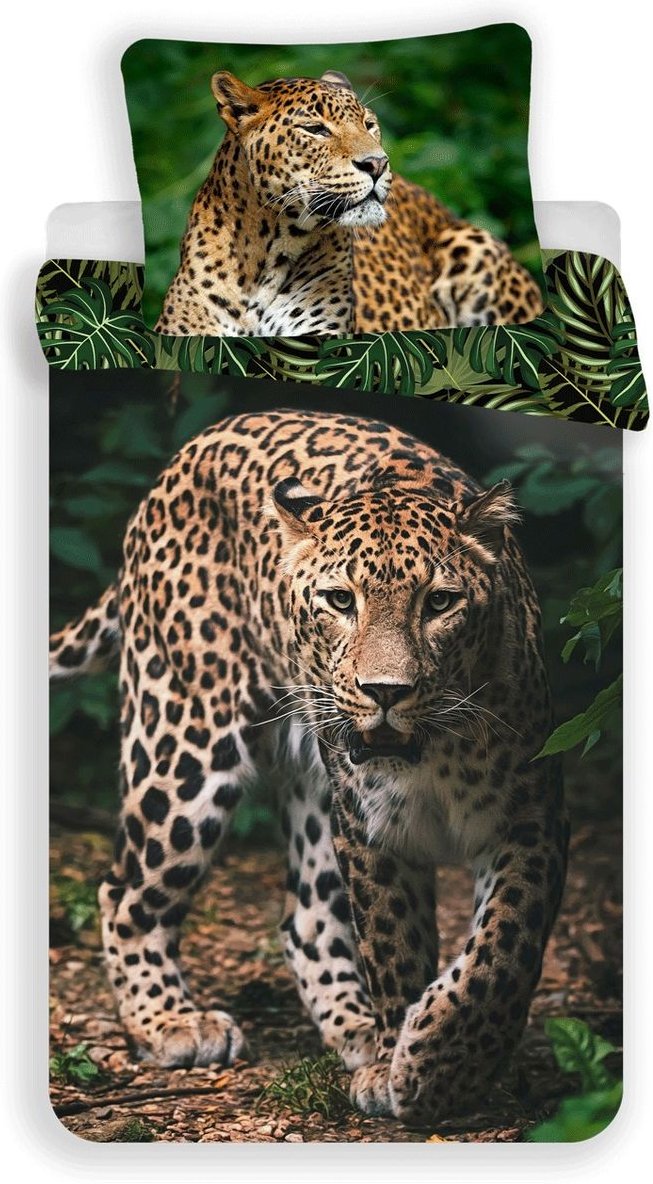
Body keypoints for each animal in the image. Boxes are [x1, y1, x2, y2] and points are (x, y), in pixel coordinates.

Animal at [50, 409, 568, 1123]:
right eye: (340, 600)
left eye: (439, 603)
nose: (385, 692)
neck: (432, 754)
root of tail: (183, 457)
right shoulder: (371, 830)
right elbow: (395, 946)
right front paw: (410, 1065)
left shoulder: (531, 817)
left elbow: (503, 949)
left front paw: (441, 1061)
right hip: (184, 742)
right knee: (125, 890)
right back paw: (172, 1022)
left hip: (311, 789)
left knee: (307, 919)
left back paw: (356, 1030)